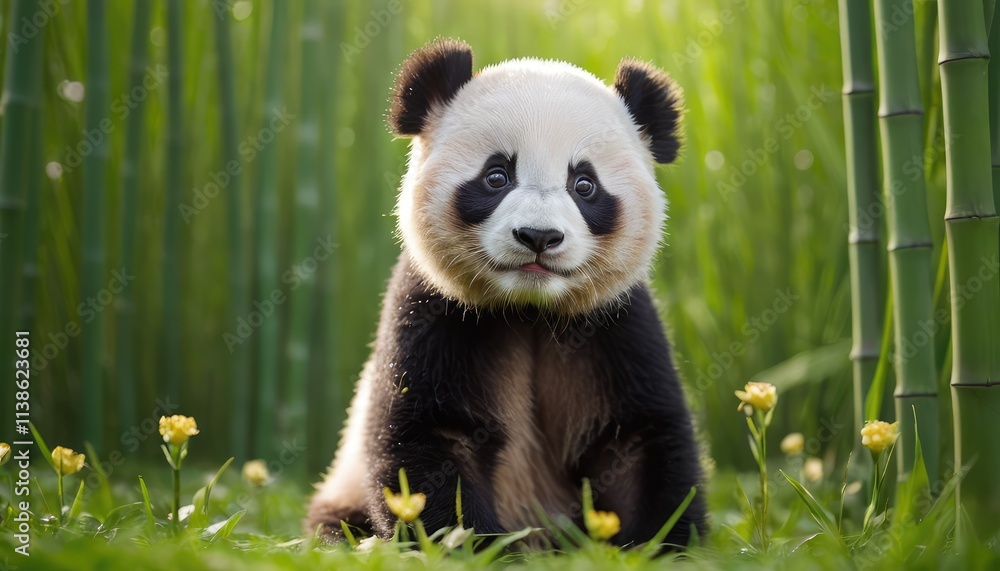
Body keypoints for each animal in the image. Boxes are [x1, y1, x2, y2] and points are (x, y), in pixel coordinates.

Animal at [306, 38, 707, 549]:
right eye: (496, 176)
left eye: (584, 184)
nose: (539, 236)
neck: (529, 309)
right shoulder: (435, 312)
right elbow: (432, 437)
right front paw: (475, 545)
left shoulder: (613, 324)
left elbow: (637, 439)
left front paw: (661, 544)